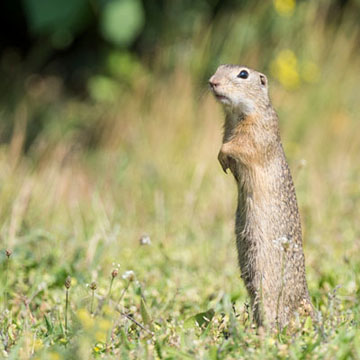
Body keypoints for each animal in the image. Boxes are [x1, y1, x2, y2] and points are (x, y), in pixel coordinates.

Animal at [210, 64, 314, 330]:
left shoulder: (256, 133)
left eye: (243, 74)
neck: (238, 114)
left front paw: (223, 156)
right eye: (219, 68)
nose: (212, 82)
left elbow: (238, 146)